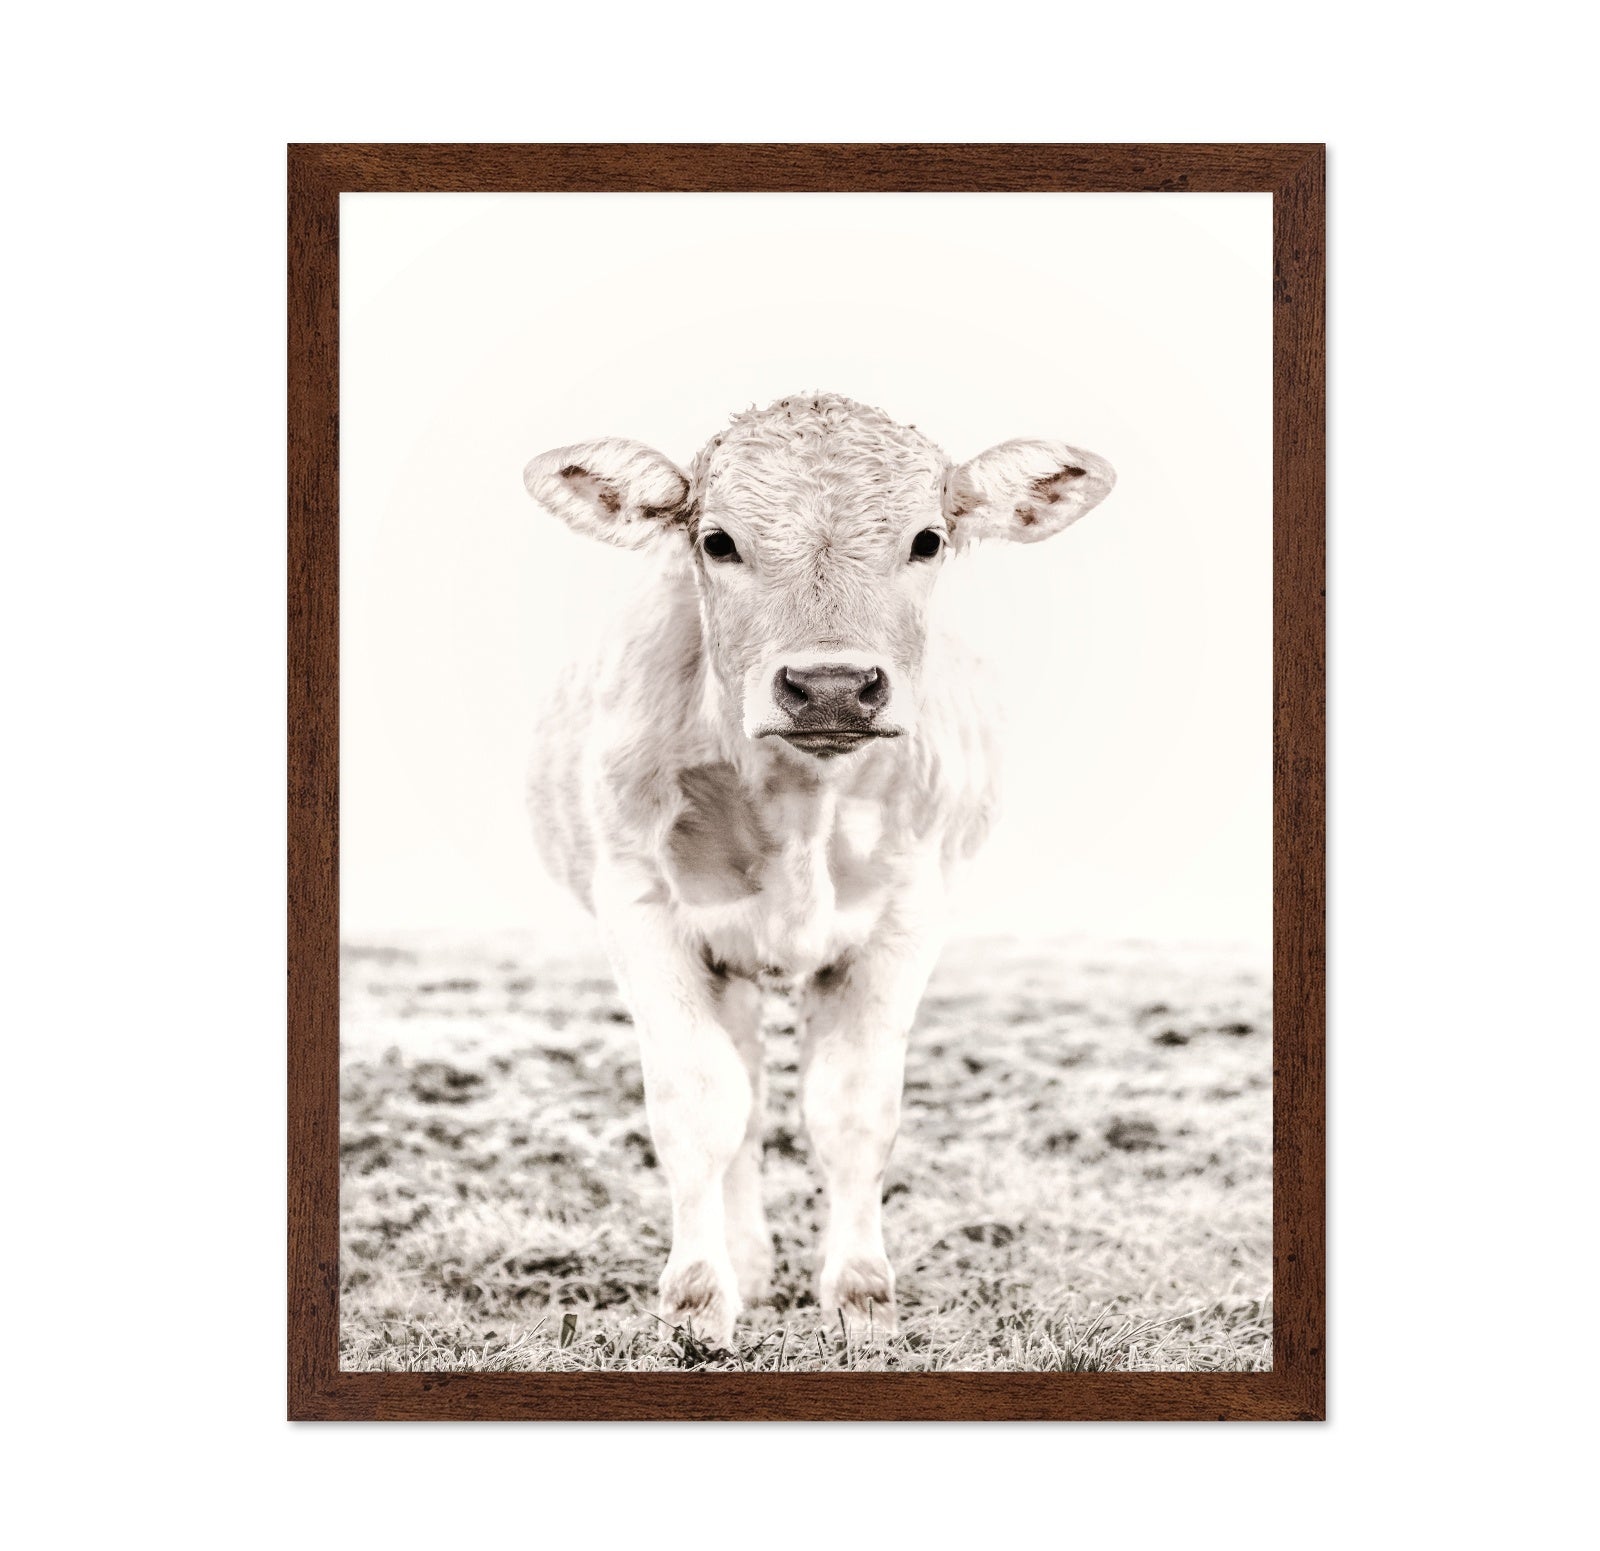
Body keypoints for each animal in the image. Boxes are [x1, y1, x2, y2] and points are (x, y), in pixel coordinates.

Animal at [522, 393, 1115, 1346]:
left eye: (928, 539)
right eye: (717, 540)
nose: (831, 685)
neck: (801, 801)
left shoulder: (908, 915)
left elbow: (853, 1108)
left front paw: (862, 1294)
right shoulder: (641, 907)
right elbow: (699, 1104)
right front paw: (699, 1295)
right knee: (744, 1101)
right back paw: (748, 1261)